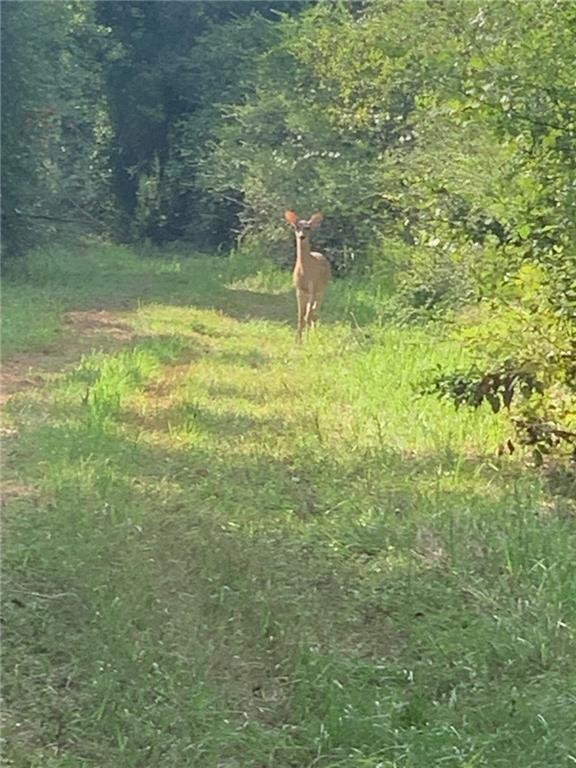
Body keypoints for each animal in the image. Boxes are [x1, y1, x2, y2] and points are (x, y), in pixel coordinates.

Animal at [284, 210, 330, 342]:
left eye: (308, 228)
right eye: (296, 227)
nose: (302, 236)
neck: (305, 272)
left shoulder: (313, 287)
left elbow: (307, 316)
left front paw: (307, 339)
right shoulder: (299, 290)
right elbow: (301, 316)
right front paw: (297, 340)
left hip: (322, 290)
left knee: (314, 312)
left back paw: (314, 334)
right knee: (312, 312)